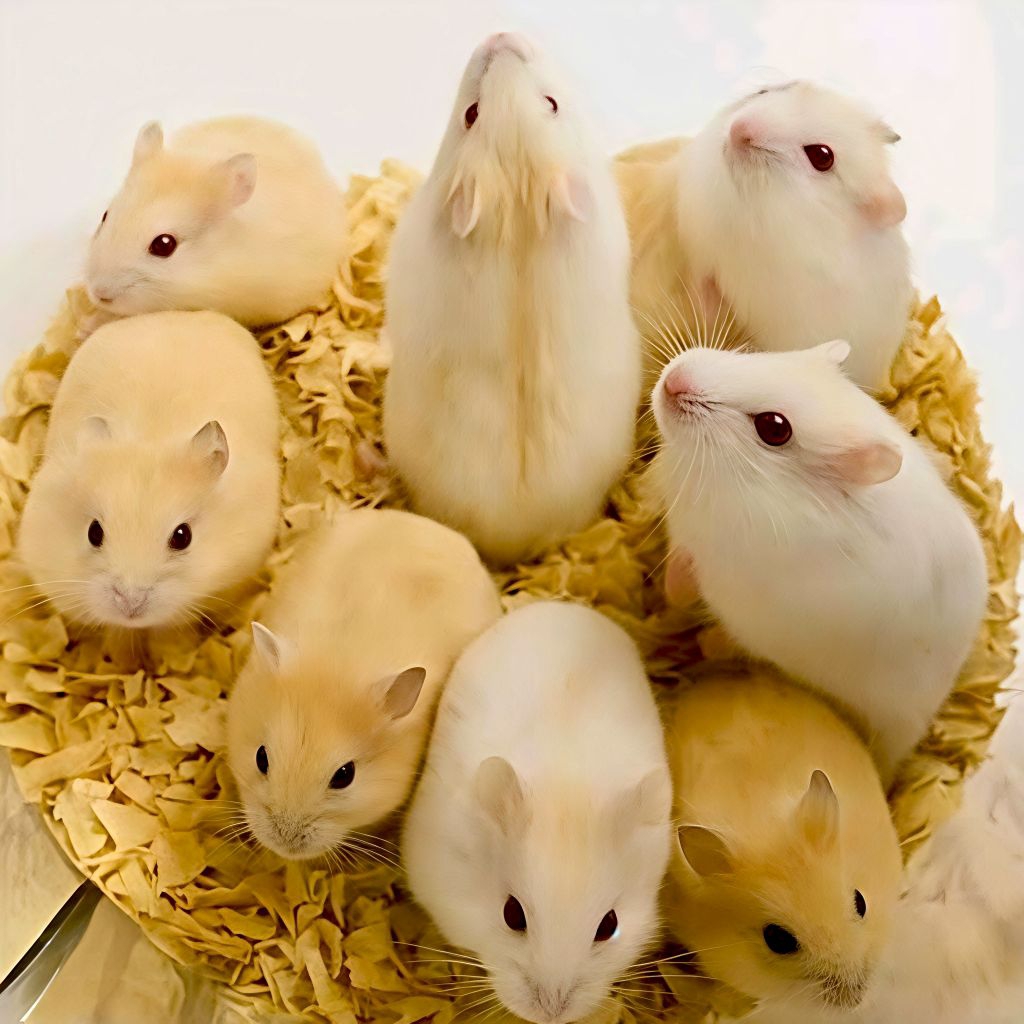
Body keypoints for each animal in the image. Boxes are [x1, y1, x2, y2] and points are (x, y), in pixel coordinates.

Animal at [651, 341, 988, 783]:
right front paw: (669, 592)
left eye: (774, 428)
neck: (735, 483)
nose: (672, 381)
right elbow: (678, 566)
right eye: (759, 357)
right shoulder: (683, 532)